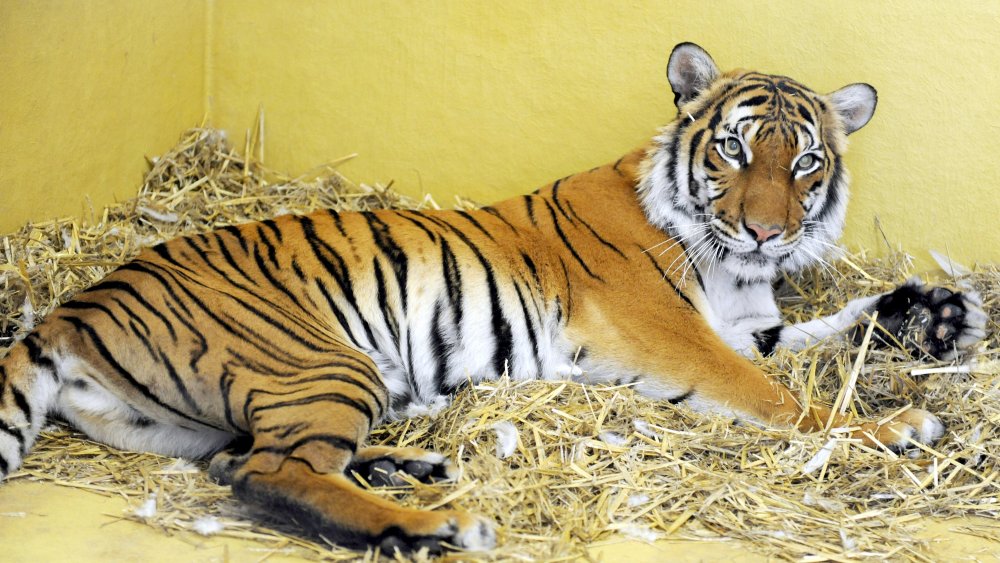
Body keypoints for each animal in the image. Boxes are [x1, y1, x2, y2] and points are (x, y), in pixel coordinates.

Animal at [0, 42, 987, 553]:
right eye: (737, 150)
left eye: (808, 160)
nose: (767, 232)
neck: (733, 268)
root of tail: (67, 307)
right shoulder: (672, 335)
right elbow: (783, 401)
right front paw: (893, 426)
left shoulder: (753, 326)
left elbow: (828, 332)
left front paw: (932, 314)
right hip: (326, 359)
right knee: (266, 473)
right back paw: (438, 524)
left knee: (242, 460)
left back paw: (416, 469)